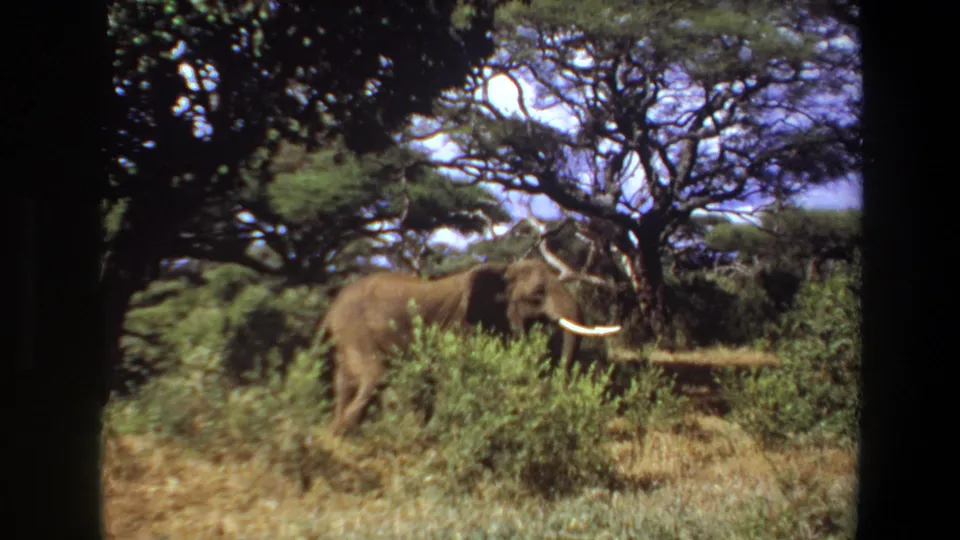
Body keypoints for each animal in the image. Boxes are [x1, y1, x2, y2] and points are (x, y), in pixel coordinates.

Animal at [318, 258, 622, 435]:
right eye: (537, 293)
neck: (502, 271)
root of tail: (333, 305)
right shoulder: (460, 324)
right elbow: (452, 373)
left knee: (344, 381)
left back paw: (335, 433)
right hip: (355, 328)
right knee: (374, 376)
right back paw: (345, 433)